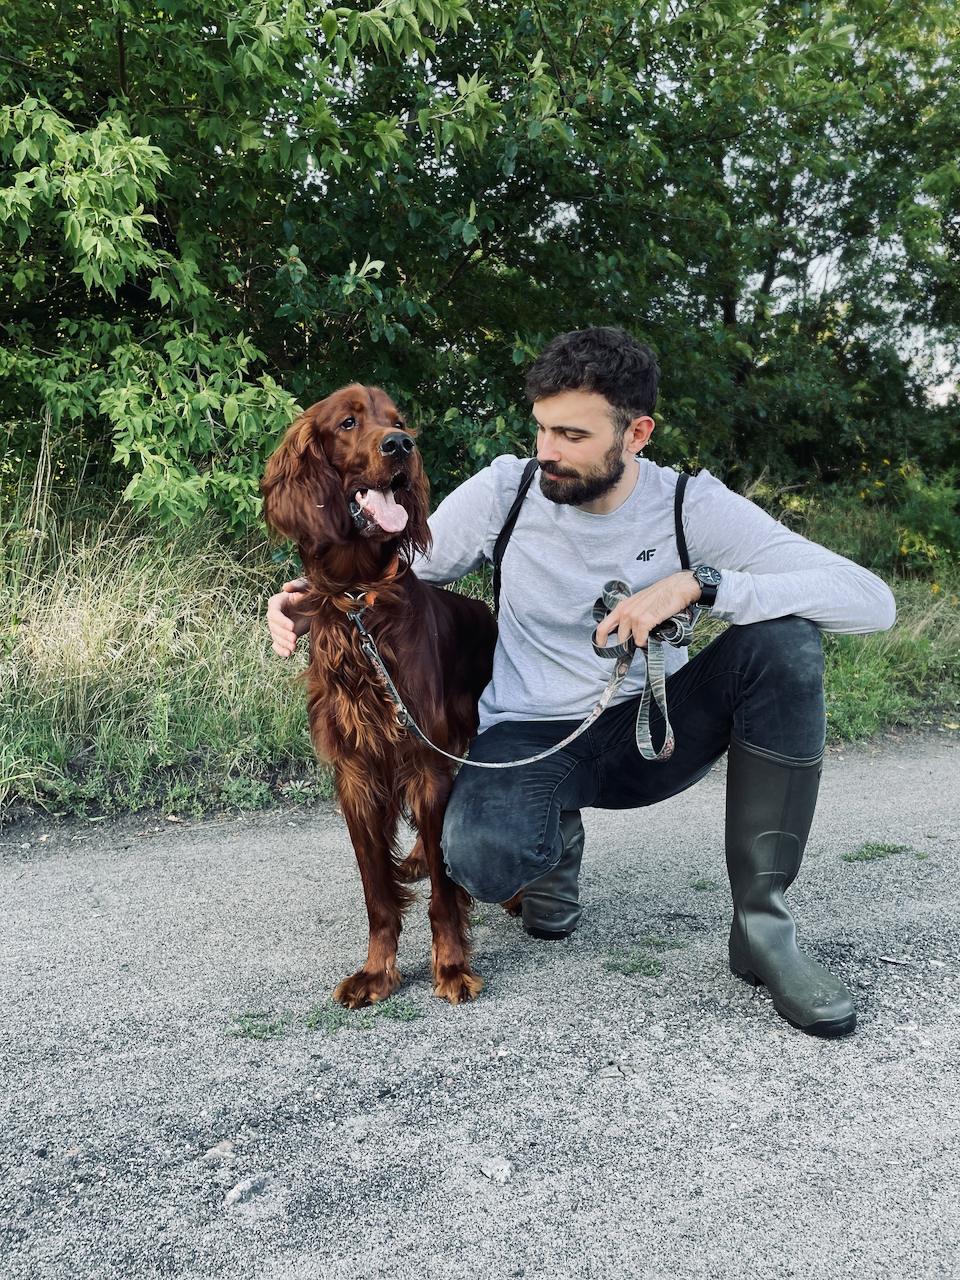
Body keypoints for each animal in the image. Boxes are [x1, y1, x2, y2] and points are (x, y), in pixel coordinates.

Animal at [263, 384, 496, 1003]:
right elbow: (377, 891)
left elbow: (444, 892)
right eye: (348, 423)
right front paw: (376, 970)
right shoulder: (356, 772)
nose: (401, 447)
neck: (359, 599)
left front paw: (451, 966)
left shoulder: (423, 757)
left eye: (398, 421)